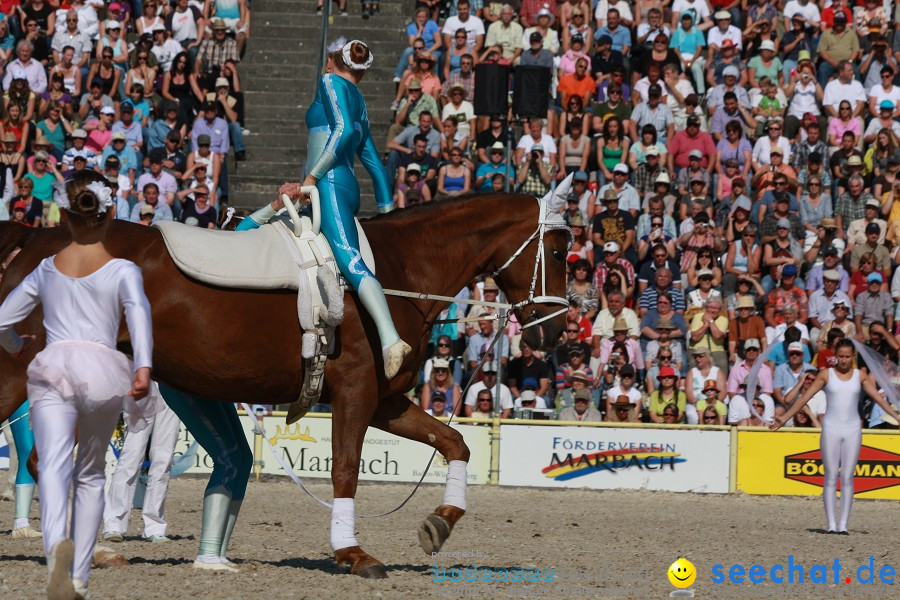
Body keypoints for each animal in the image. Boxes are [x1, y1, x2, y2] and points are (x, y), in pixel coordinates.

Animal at [0, 193, 568, 576]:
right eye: (561, 251)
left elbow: (454, 443)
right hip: (21, 371)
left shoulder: (385, 400)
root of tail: (35, 236)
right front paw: (352, 552)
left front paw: (440, 522)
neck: (393, 273)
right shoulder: (356, 393)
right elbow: (345, 470)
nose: (557, 329)